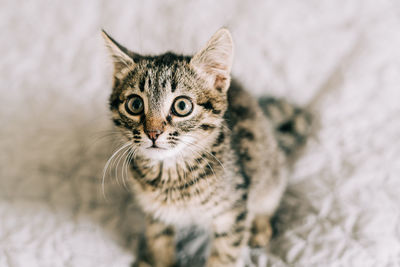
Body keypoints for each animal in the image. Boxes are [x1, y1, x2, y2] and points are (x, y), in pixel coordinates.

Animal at [101, 29, 310, 267]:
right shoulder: (157, 213)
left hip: (269, 169)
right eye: (135, 104)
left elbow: (224, 256)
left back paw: (260, 228)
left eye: (182, 106)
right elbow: (159, 243)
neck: (173, 176)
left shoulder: (233, 212)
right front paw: (156, 261)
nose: (153, 133)